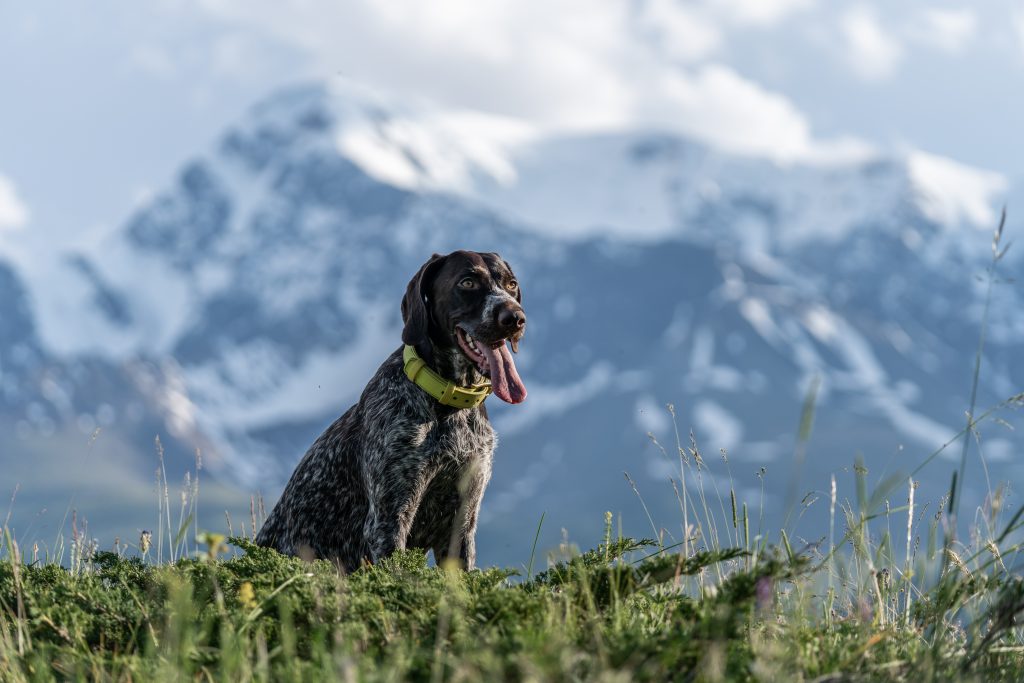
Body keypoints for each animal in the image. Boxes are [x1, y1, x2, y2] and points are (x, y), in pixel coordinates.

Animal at [254, 250, 528, 573]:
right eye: (468, 282)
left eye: (511, 284)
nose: (515, 318)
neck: (449, 405)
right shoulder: (389, 519)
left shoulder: (463, 521)